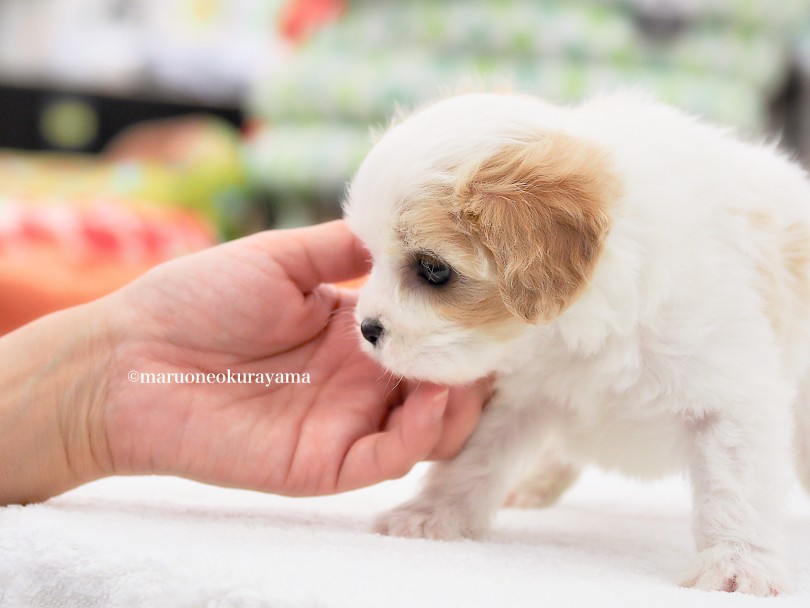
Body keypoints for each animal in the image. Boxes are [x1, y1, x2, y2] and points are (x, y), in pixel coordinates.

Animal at [340, 92, 808, 596]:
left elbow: (735, 486)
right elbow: (473, 460)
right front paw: (432, 513)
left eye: (433, 269)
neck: (575, 329)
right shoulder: (519, 395)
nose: (367, 329)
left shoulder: (733, 398)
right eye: (371, 257)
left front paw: (737, 564)